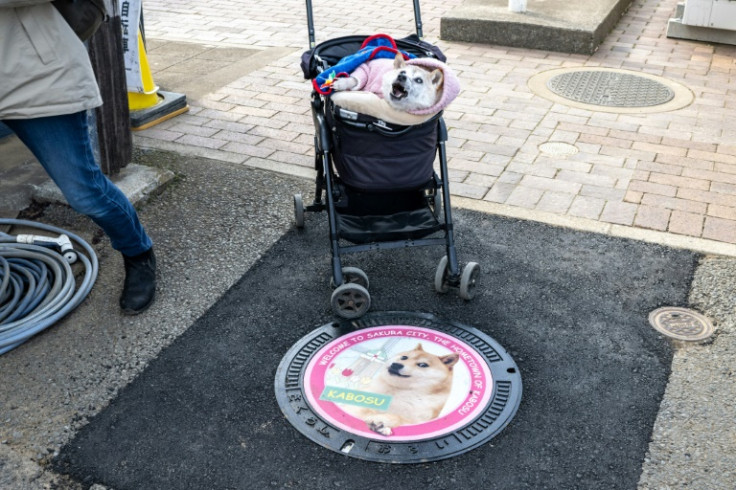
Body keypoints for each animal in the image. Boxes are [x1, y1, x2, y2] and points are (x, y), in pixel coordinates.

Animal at [296, 7, 480, 320]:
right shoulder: (363, 75)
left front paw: (456, 277)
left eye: (418, 80)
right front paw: (345, 290)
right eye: (402, 74)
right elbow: (351, 81)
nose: (402, 76)